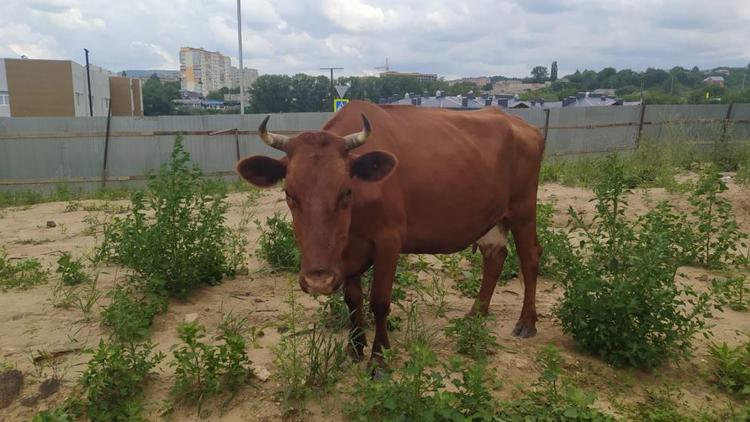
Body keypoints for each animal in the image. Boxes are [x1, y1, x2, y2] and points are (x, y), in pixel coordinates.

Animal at [239, 100, 548, 368]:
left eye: (346, 192)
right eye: (290, 194)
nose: (318, 281)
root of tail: (521, 124)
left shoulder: (389, 241)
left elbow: (379, 302)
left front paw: (379, 358)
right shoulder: (346, 254)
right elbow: (353, 301)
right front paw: (355, 346)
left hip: (523, 208)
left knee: (530, 257)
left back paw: (526, 323)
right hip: (493, 216)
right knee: (495, 257)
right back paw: (475, 315)